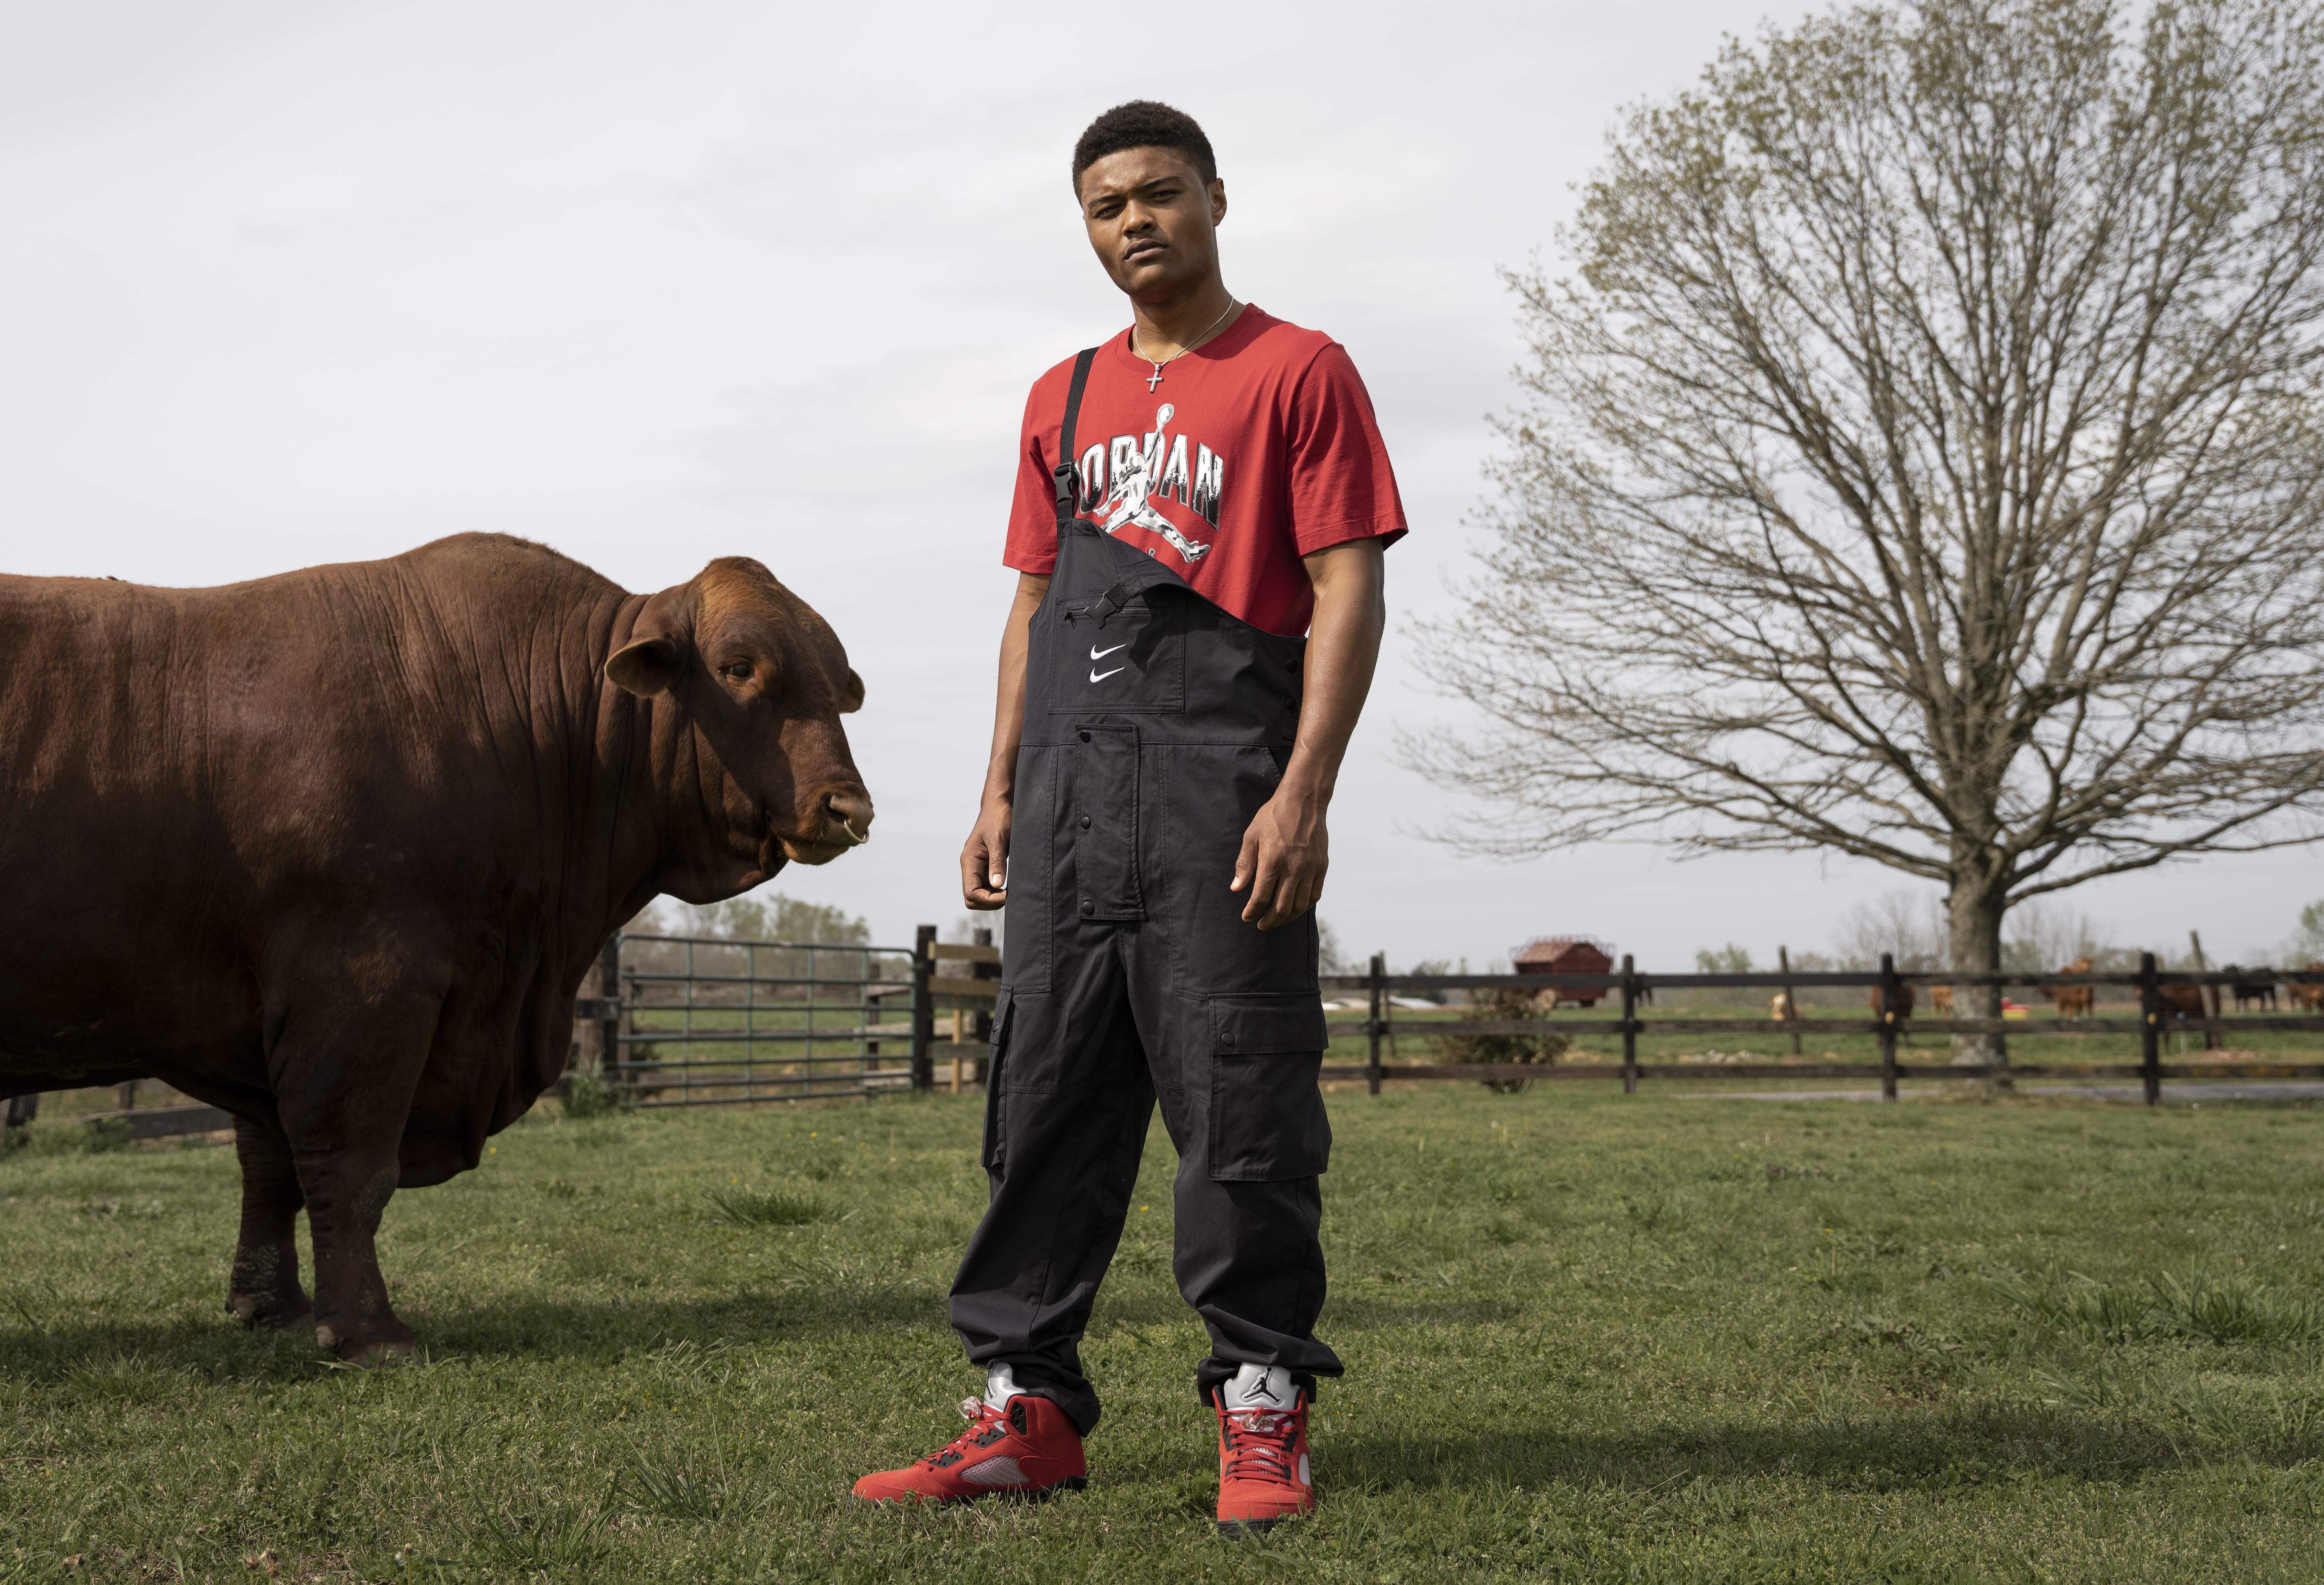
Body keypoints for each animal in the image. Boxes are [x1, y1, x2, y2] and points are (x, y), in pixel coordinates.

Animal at [0, 530, 874, 1357]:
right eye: (738, 667)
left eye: (840, 687)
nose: (849, 808)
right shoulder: (362, 986)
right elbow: (350, 1164)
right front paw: (367, 1332)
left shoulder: (268, 1008)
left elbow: (269, 1163)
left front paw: (273, 1307)